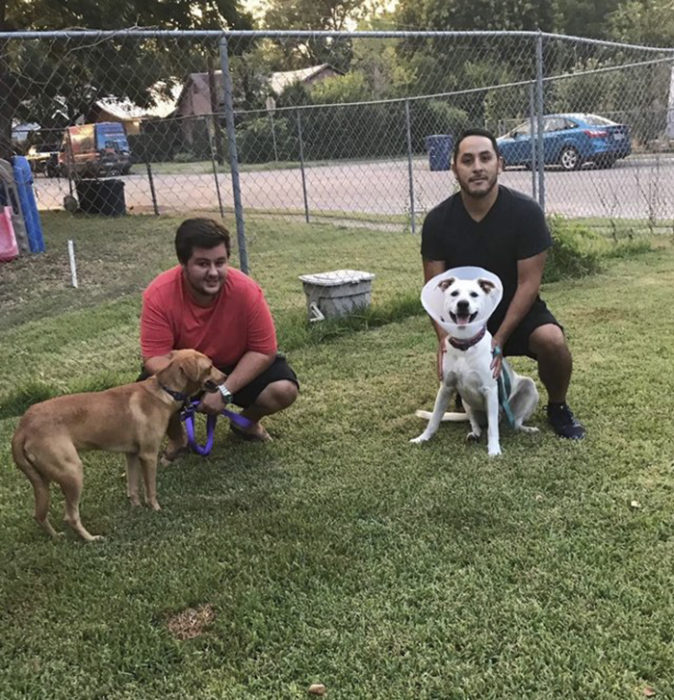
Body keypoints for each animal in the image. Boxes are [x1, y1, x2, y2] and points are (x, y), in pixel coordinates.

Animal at [10, 350, 224, 540]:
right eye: (210, 366)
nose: (225, 376)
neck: (165, 390)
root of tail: (23, 427)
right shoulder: (148, 455)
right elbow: (151, 489)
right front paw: (155, 508)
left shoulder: (132, 454)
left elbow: (133, 487)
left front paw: (137, 509)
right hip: (72, 471)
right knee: (70, 516)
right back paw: (91, 538)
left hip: (42, 480)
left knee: (39, 515)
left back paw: (56, 537)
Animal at [406, 274, 540, 460]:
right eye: (454, 293)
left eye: (474, 294)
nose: (463, 304)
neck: (465, 346)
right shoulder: (446, 388)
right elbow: (434, 420)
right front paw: (422, 438)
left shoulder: (490, 390)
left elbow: (493, 429)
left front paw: (494, 450)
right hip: (466, 401)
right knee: (475, 423)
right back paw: (474, 434)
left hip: (528, 386)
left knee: (514, 423)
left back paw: (526, 429)